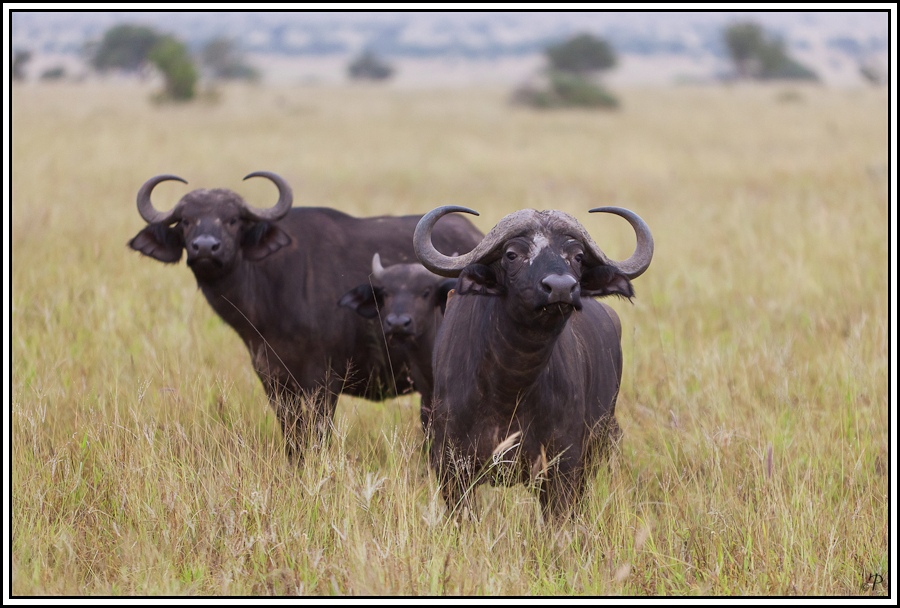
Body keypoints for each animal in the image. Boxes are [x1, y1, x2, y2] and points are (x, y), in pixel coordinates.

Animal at [414, 204, 652, 516]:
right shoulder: (451, 468)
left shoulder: (563, 466)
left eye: (577, 256)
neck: (508, 387)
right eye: (512, 254)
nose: (561, 288)